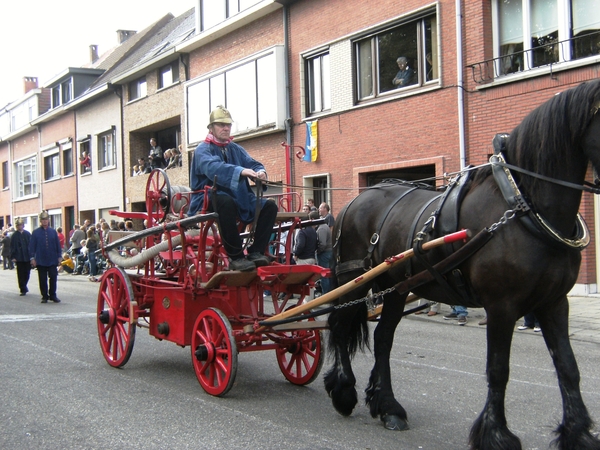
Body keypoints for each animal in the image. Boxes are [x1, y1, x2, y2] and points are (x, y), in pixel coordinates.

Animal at [326, 80, 600, 450]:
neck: (523, 207)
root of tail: (355, 199)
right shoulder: (502, 306)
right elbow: (498, 369)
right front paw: (496, 435)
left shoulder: (554, 302)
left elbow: (568, 367)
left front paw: (577, 433)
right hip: (353, 279)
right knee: (339, 327)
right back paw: (343, 391)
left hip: (396, 286)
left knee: (383, 338)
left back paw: (388, 407)